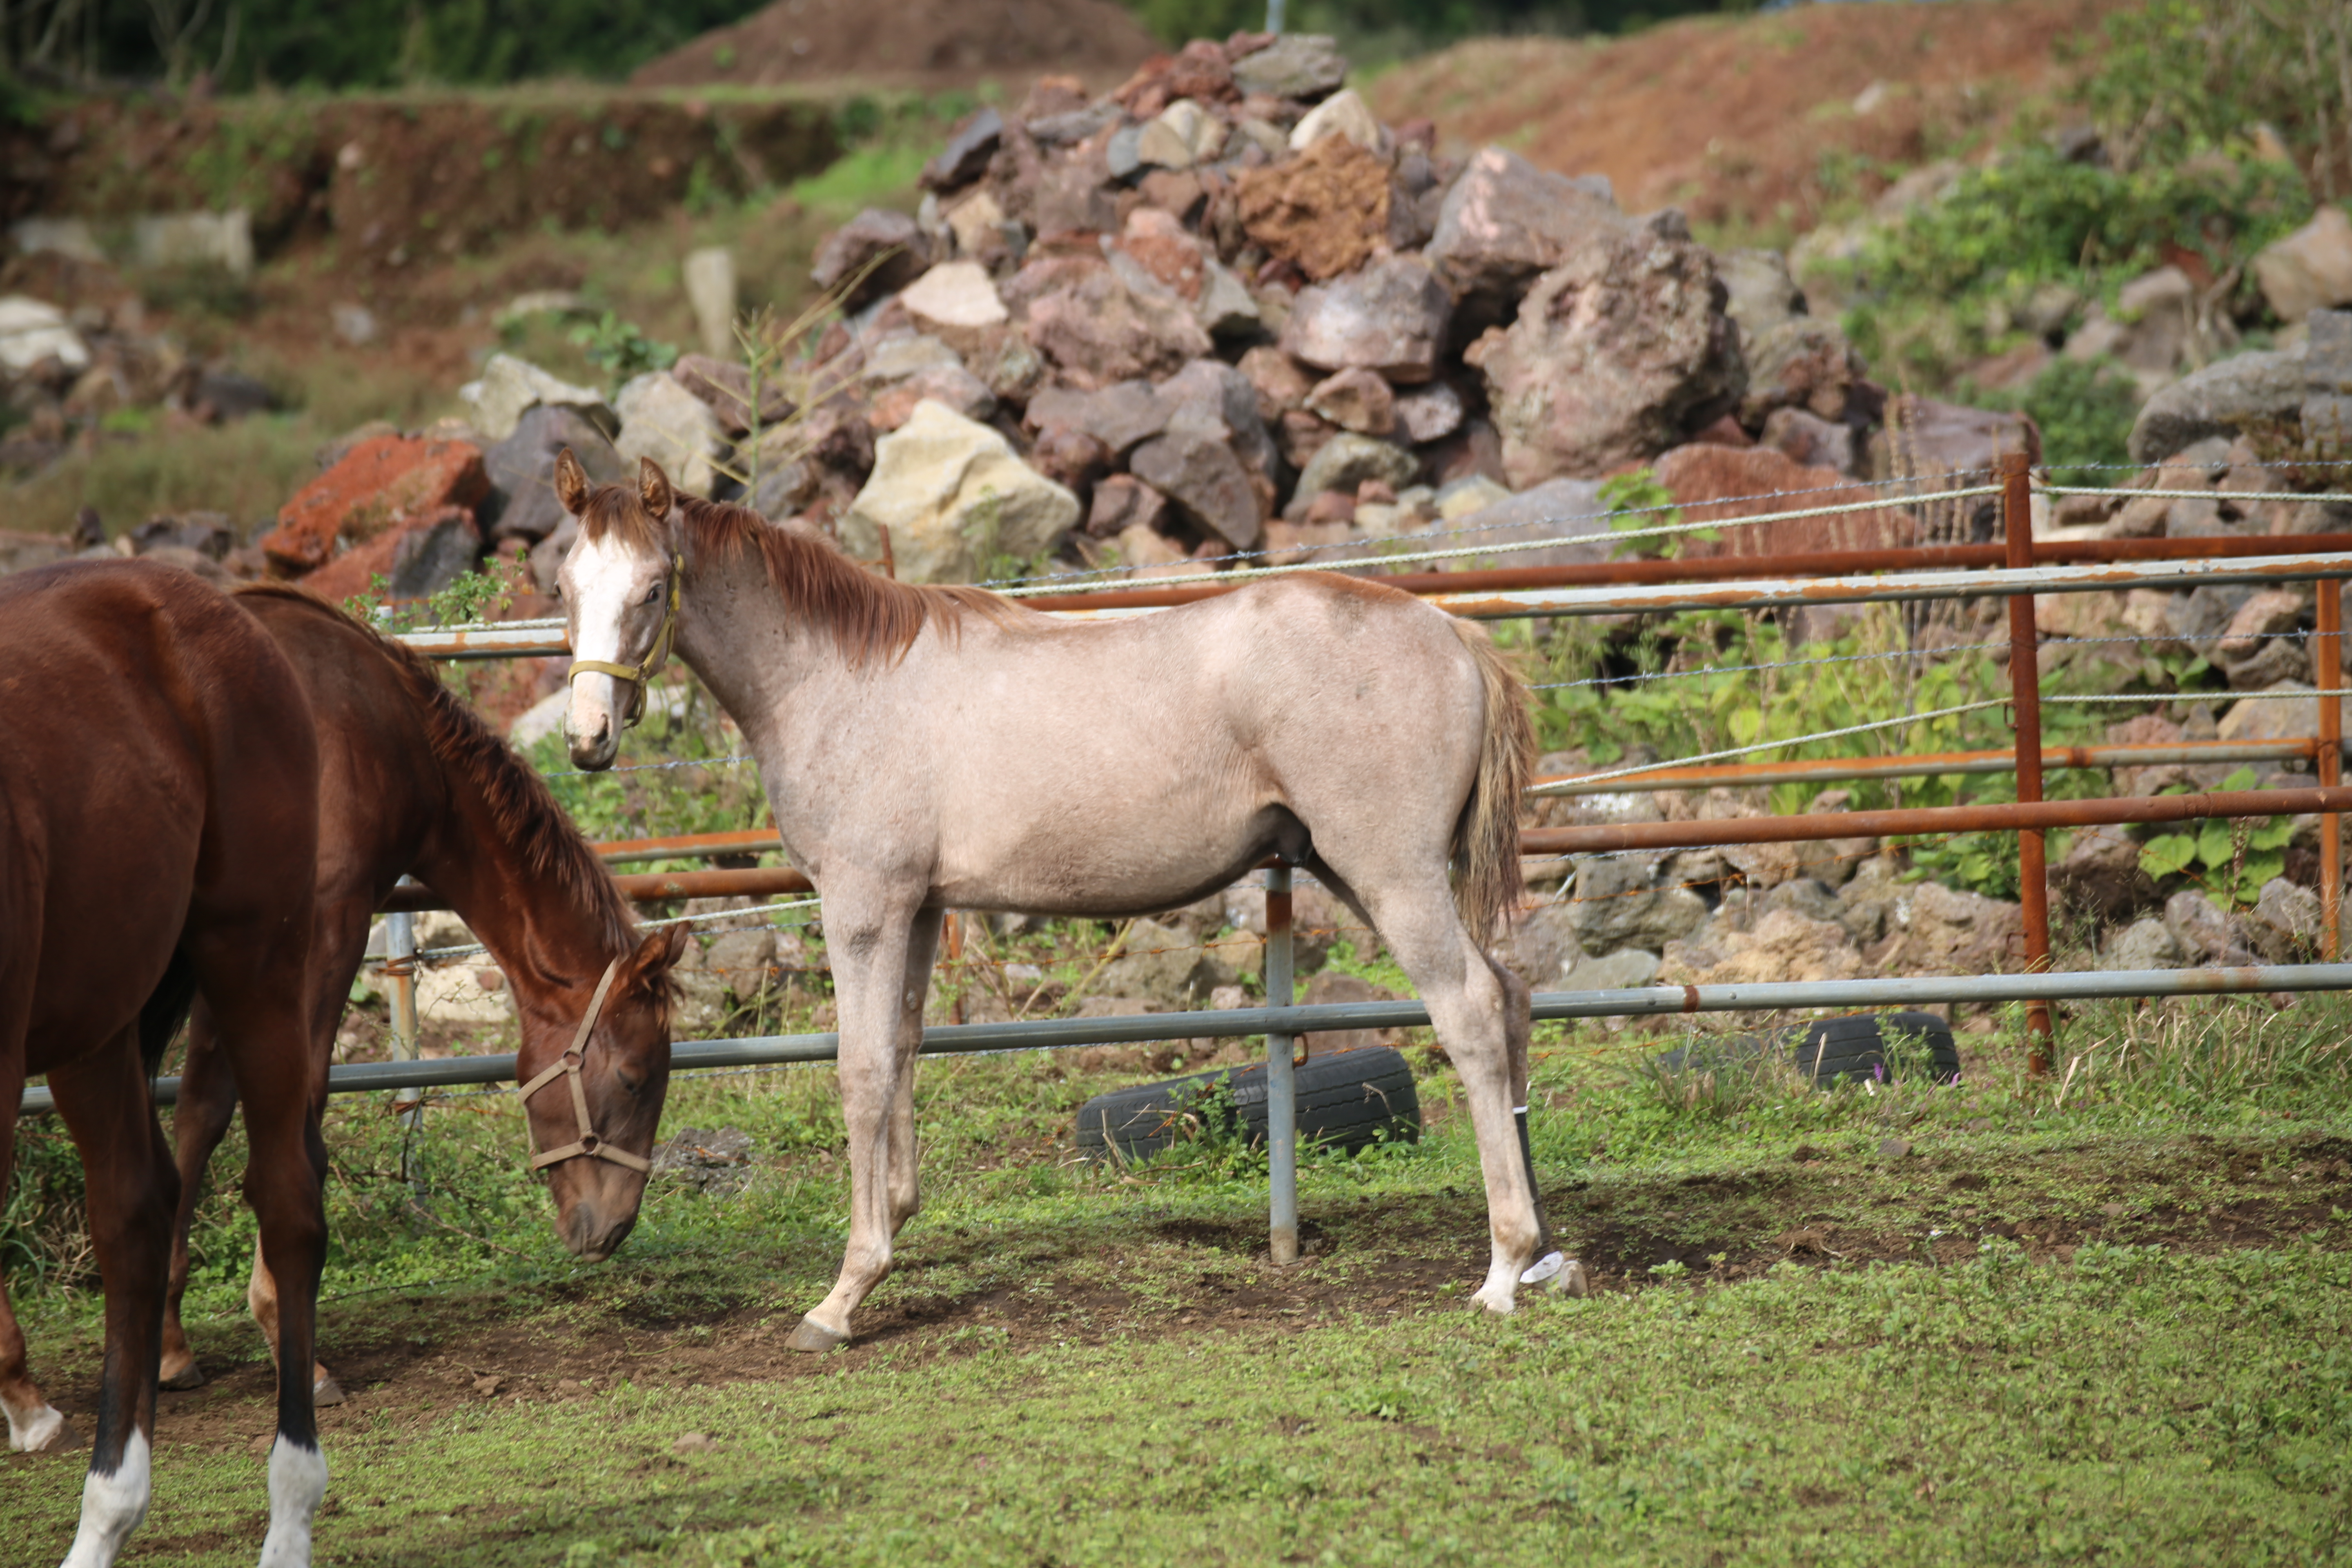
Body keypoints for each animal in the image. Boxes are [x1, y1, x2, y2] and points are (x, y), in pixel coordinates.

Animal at [0, 564, 329, 1568]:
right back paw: (106, 1517)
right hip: (99, 1026)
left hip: (255, 961)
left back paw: (289, 1517)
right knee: (135, 1219)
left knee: (288, 1203)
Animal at [141, 588, 682, 1401]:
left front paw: (171, 1343)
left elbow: (201, 1112)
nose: (613, 1229)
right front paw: (286, 1333)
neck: (379, 729)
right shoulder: (324, 928)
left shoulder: (231, 944)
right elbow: (300, 1107)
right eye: (632, 1078)